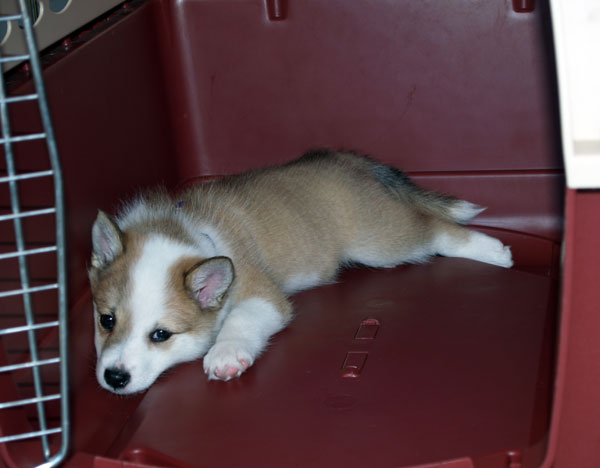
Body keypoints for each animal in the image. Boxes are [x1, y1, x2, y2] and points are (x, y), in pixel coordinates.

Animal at [89, 149, 510, 392]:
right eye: (106, 320)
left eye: (161, 335)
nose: (114, 378)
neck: (180, 231)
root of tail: (345, 159)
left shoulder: (264, 295)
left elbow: (239, 320)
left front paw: (226, 355)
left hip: (381, 243)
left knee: (436, 230)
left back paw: (495, 250)